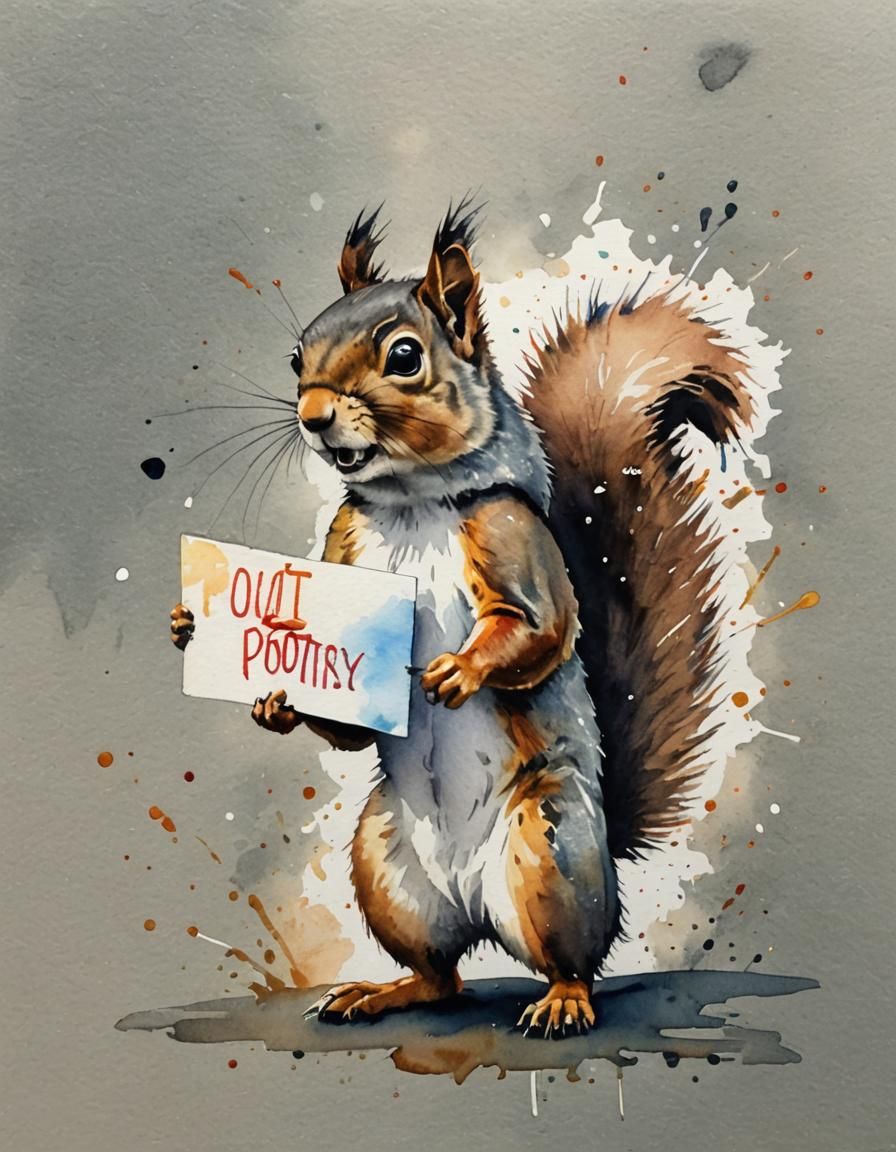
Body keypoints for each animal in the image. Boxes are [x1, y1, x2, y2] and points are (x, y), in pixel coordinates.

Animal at [170, 199, 754, 1037]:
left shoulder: (511, 537)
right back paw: (380, 992)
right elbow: (349, 731)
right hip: (387, 869)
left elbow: (540, 630)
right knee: (439, 975)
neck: (411, 503)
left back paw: (562, 1001)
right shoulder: (342, 544)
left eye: (405, 356)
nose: (313, 416)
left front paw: (458, 670)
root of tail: (477, 909)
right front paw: (247, 675)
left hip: (548, 852)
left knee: (573, 958)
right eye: (295, 357)